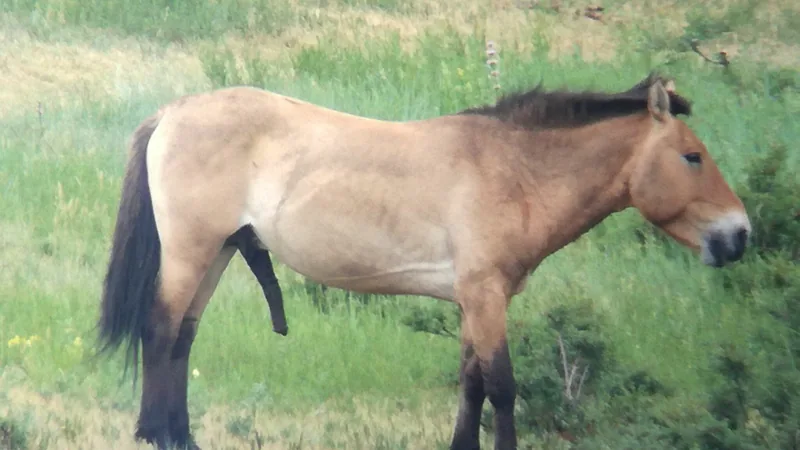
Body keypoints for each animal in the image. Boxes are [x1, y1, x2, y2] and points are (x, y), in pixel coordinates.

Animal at [97, 73, 751, 450]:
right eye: (692, 156)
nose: (739, 234)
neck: (512, 171)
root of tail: (173, 112)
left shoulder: (472, 301)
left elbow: (471, 382)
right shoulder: (486, 297)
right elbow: (502, 387)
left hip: (220, 251)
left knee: (182, 337)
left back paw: (179, 435)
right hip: (193, 251)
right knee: (161, 331)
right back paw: (159, 436)